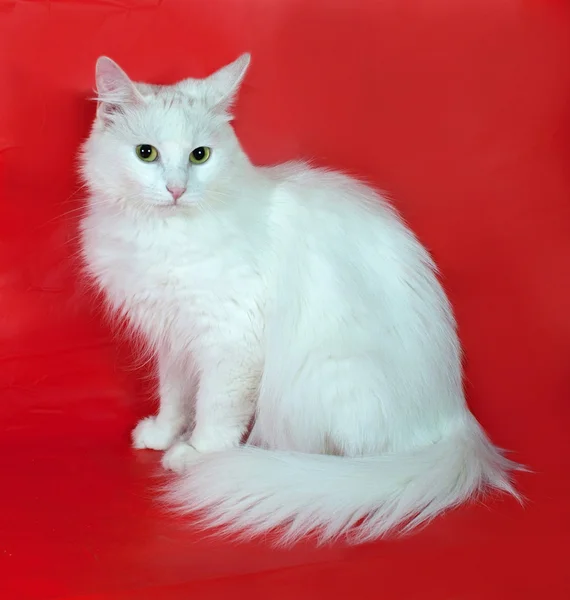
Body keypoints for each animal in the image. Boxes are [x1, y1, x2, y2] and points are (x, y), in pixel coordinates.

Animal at [77, 55, 516, 544]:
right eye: (146, 153)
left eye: (199, 156)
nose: (176, 189)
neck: (162, 235)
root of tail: (458, 420)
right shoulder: (174, 337)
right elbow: (174, 397)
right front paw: (162, 434)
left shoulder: (230, 341)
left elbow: (214, 408)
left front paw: (199, 454)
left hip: (329, 374)